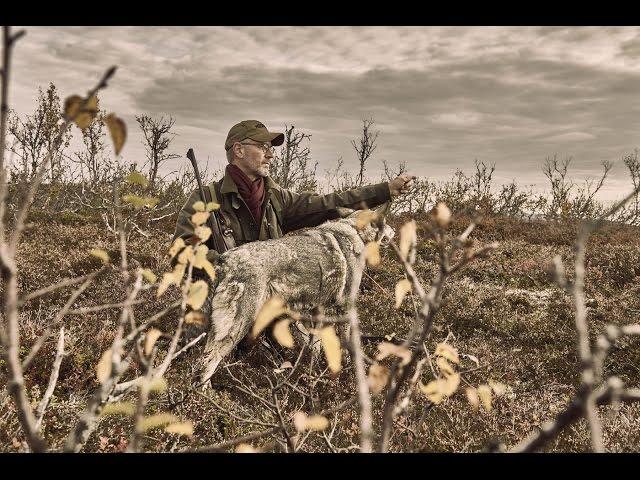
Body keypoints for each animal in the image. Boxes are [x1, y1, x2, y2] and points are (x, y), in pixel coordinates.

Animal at [198, 202, 392, 386]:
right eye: (386, 222)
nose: (394, 231)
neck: (355, 231)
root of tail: (223, 261)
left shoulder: (316, 311)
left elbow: (315, 346)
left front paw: (312, 375)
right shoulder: (344, 309)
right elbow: (346, 349)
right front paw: (344, 374)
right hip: (237, 326)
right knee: (209, 362)